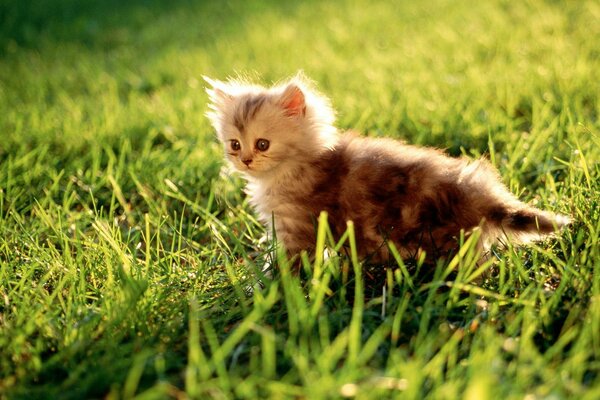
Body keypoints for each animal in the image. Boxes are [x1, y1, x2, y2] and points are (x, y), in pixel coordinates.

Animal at [206, 74, 572, 262]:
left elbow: (287, 264)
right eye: (235, 144)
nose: (245, 159)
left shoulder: (298, 227)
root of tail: (481, 195)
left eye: (262, 144)